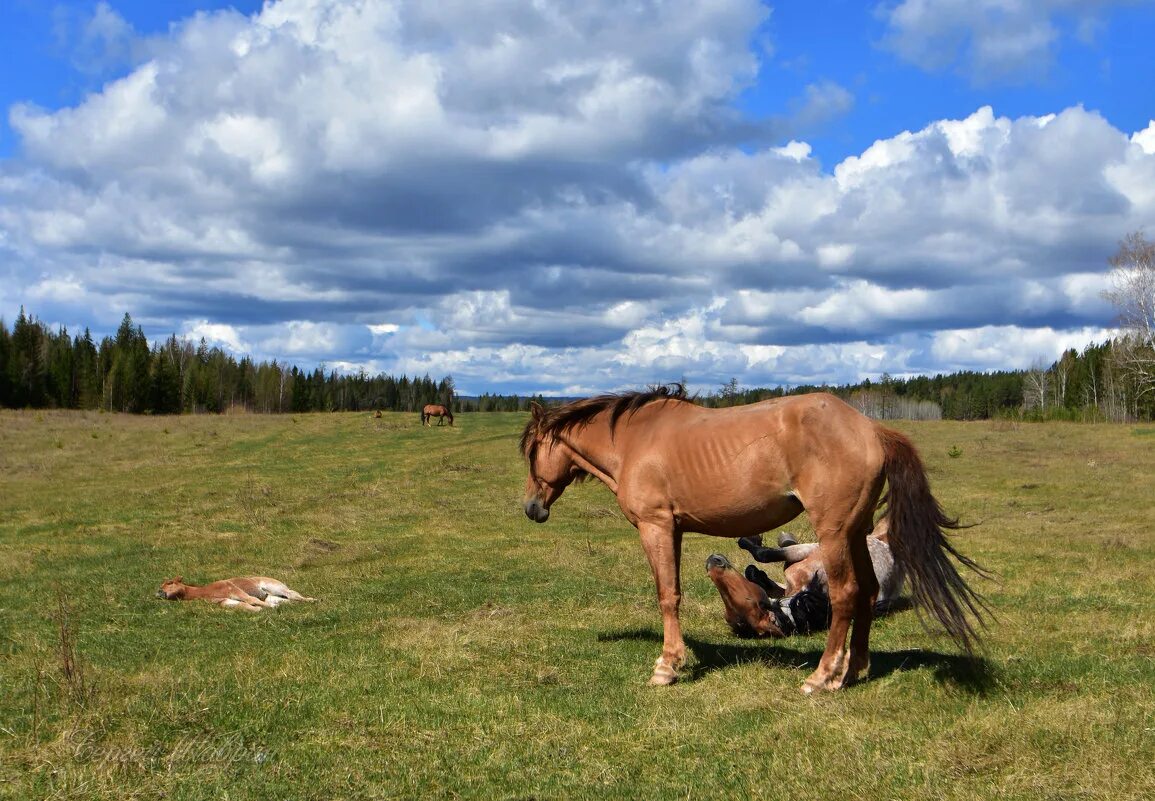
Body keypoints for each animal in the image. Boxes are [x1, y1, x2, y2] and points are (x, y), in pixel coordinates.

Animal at [158, 574, 318, 614]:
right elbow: (245, 606)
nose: (159, 592)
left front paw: (270, 608)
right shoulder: (225, 602)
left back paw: (314, 600)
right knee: (289, 600)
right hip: (273, 595)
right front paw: (258, 609)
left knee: (292, 594)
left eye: (170, 582)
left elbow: (252, 600)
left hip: (275, 587)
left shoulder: (235, 591)